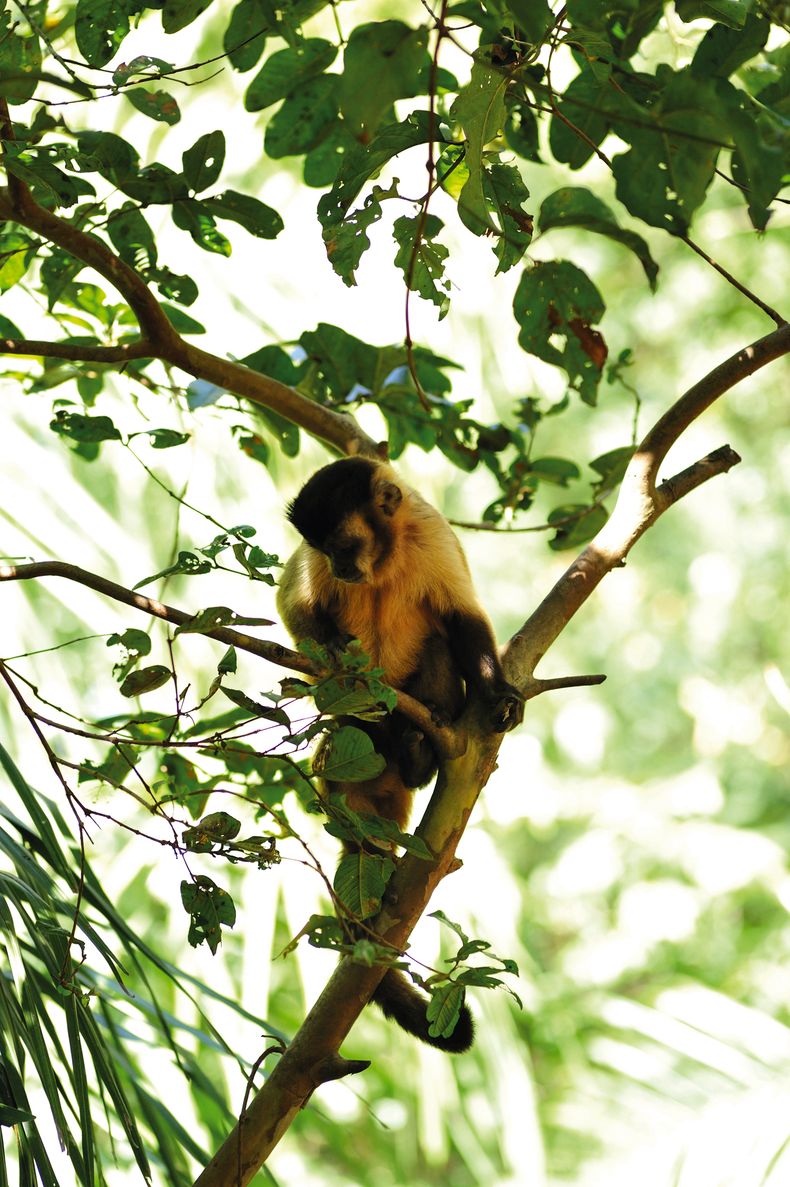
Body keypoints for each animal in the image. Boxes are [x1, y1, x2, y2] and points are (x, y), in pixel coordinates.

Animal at [277, 456, 523, 1052]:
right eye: (323, 548)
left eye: (345, 544)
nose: (341, 569)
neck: (385, 556)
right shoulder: (310, 566)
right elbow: (294, 606)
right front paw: (335, 652)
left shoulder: (433, 535)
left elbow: (462, 619)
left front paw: (498, 694)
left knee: (437, 645)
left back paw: (415, 750)